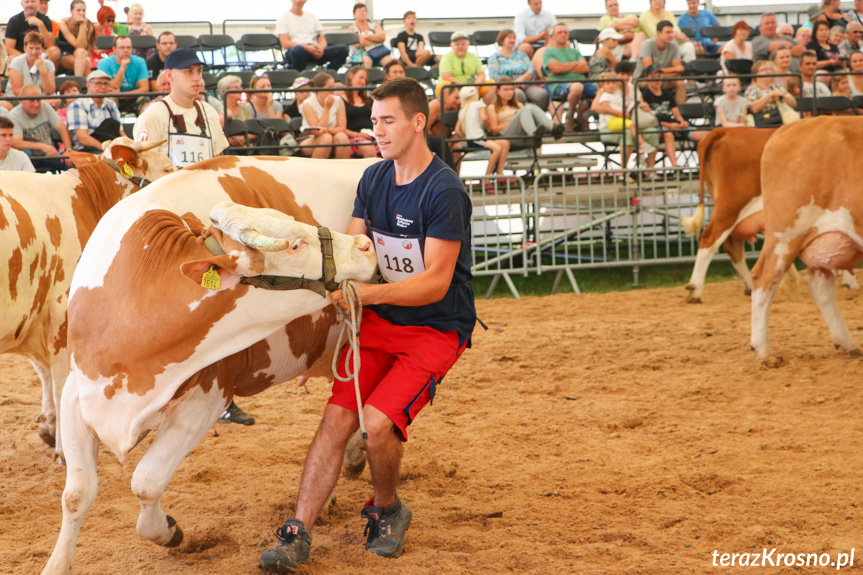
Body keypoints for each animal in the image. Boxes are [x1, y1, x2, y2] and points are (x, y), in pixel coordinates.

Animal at [0, 137, 174, 452]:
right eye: (167, 168)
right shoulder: (61, 313)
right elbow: (60, 381)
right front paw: (63, 448)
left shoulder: (32, 311)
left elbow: (44, 372)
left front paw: (49, 427)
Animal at [40, 155, 378, 572]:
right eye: (297, 244)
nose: (364, 243)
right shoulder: (78, 392)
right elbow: (77, 493)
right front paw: (57, 563)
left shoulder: (209, 394)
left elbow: (146, 481)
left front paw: (170, 533)